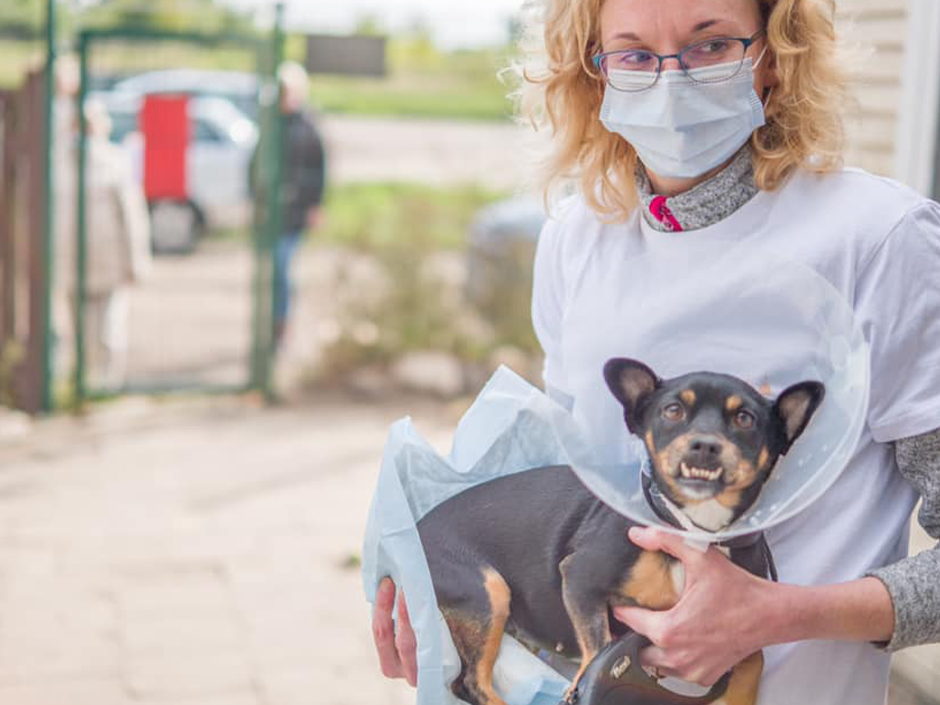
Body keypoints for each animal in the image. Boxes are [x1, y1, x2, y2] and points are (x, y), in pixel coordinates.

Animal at [416, 358, 824, 704]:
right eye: (673, 411)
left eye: (744, 419)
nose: (705, 445)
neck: (695, 532)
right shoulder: (580, 579)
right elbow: (599, 649)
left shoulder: (739, 625)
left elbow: (754, 663)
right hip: (486, 592)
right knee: (470, 682)